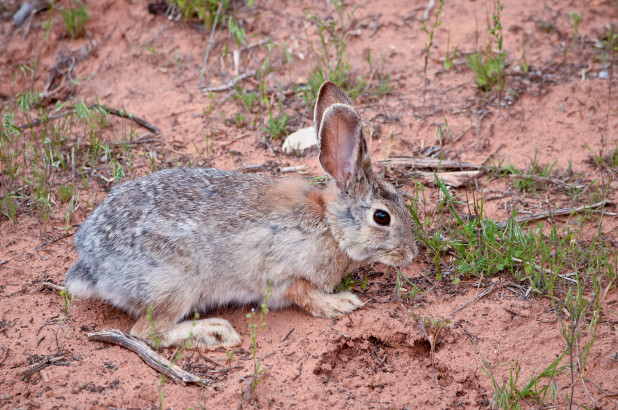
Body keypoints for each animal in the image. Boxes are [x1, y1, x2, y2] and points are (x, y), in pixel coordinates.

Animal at [65, 81, 416, 350]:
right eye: (382, 217)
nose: (411, 254)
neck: (332, 227)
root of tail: (94, 264)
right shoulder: (285, 272)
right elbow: (306, 295)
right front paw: (341, 303)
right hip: (176, 285)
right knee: (147, 332)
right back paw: (215, 332)